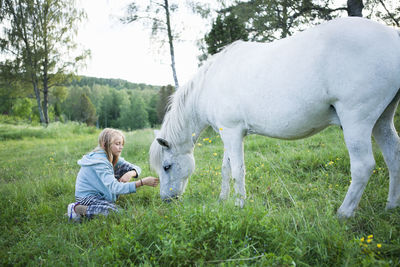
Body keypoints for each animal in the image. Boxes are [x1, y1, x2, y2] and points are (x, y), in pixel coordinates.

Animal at [150, 16, 400, 219]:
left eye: (166, 166)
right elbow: (226, 168)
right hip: (381, 122)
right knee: (393, 157)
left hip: (357, 121)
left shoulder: (232, 132)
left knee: (363, 166)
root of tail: (392, 35)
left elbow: (238, 170)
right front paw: (223, 199)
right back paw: (391, 206)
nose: (167, 200)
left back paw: (344, 213)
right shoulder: (227, 134)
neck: (210, 82)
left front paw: (239, 204)